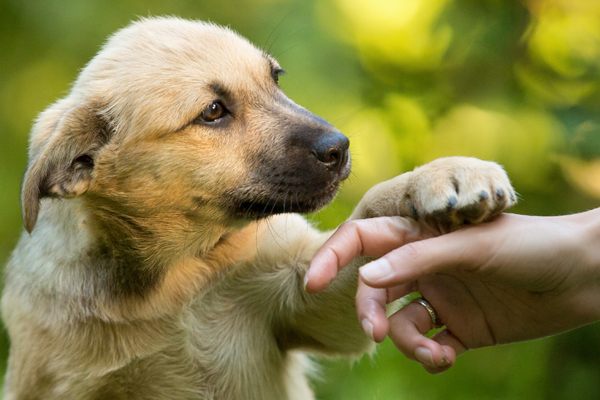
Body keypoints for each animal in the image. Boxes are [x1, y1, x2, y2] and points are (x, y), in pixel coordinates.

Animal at [1, 16, 516, 400]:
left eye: (274, 78)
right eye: (213, 111)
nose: (340, 147)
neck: (174, 282)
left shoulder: (307, 297)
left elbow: (368, 212)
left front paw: (441, 176)